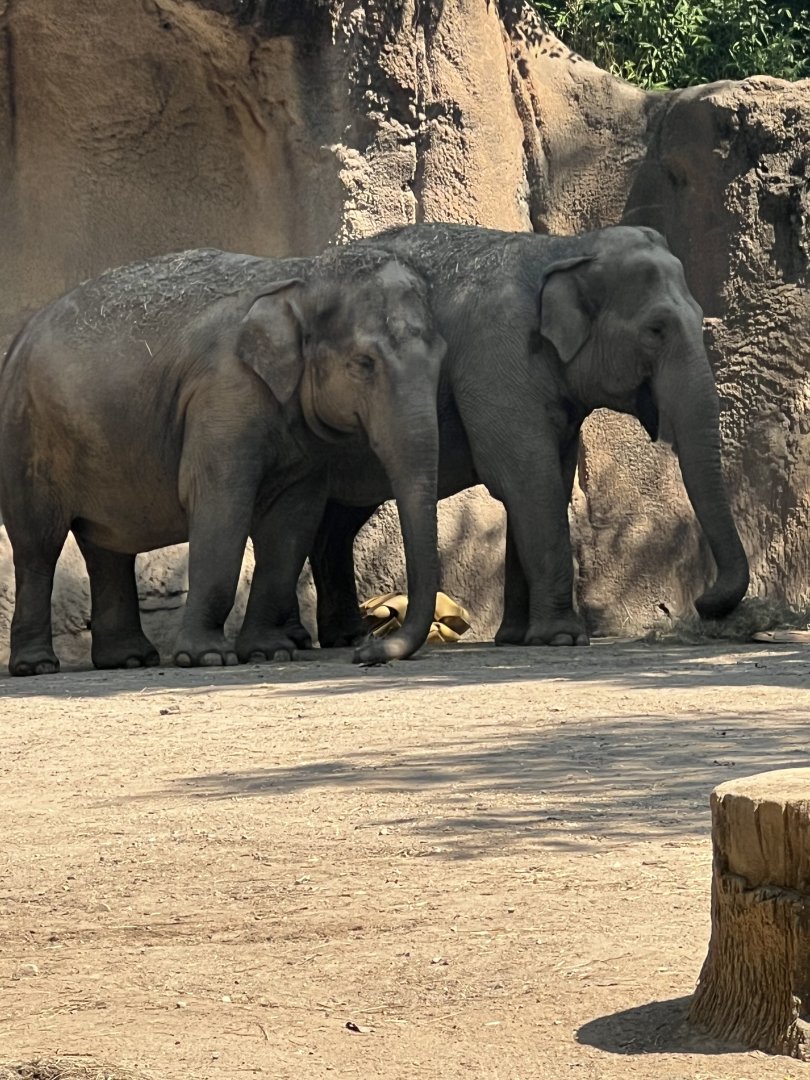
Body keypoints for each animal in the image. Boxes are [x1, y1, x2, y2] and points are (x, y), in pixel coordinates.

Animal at [0, 245, 445, 676]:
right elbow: (221, 508)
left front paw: (269, 653)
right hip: (25, 437)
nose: (365, 650)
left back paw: (128, 660)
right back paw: (37, 666)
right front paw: (207, 657)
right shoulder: (223, 396)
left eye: (440, 361)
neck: (303, 277)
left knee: (107, 546)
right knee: (38, 546)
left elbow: (292, 523)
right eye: (363, 364)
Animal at [302, 222, 749, 648]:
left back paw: (346, 637)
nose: (704, 603)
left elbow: (545, 480)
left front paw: (518, 638)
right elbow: (529, 478)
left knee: (337, 523)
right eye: (656, 329)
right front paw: (563, 638)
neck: (566, 248)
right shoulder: (498, 359)